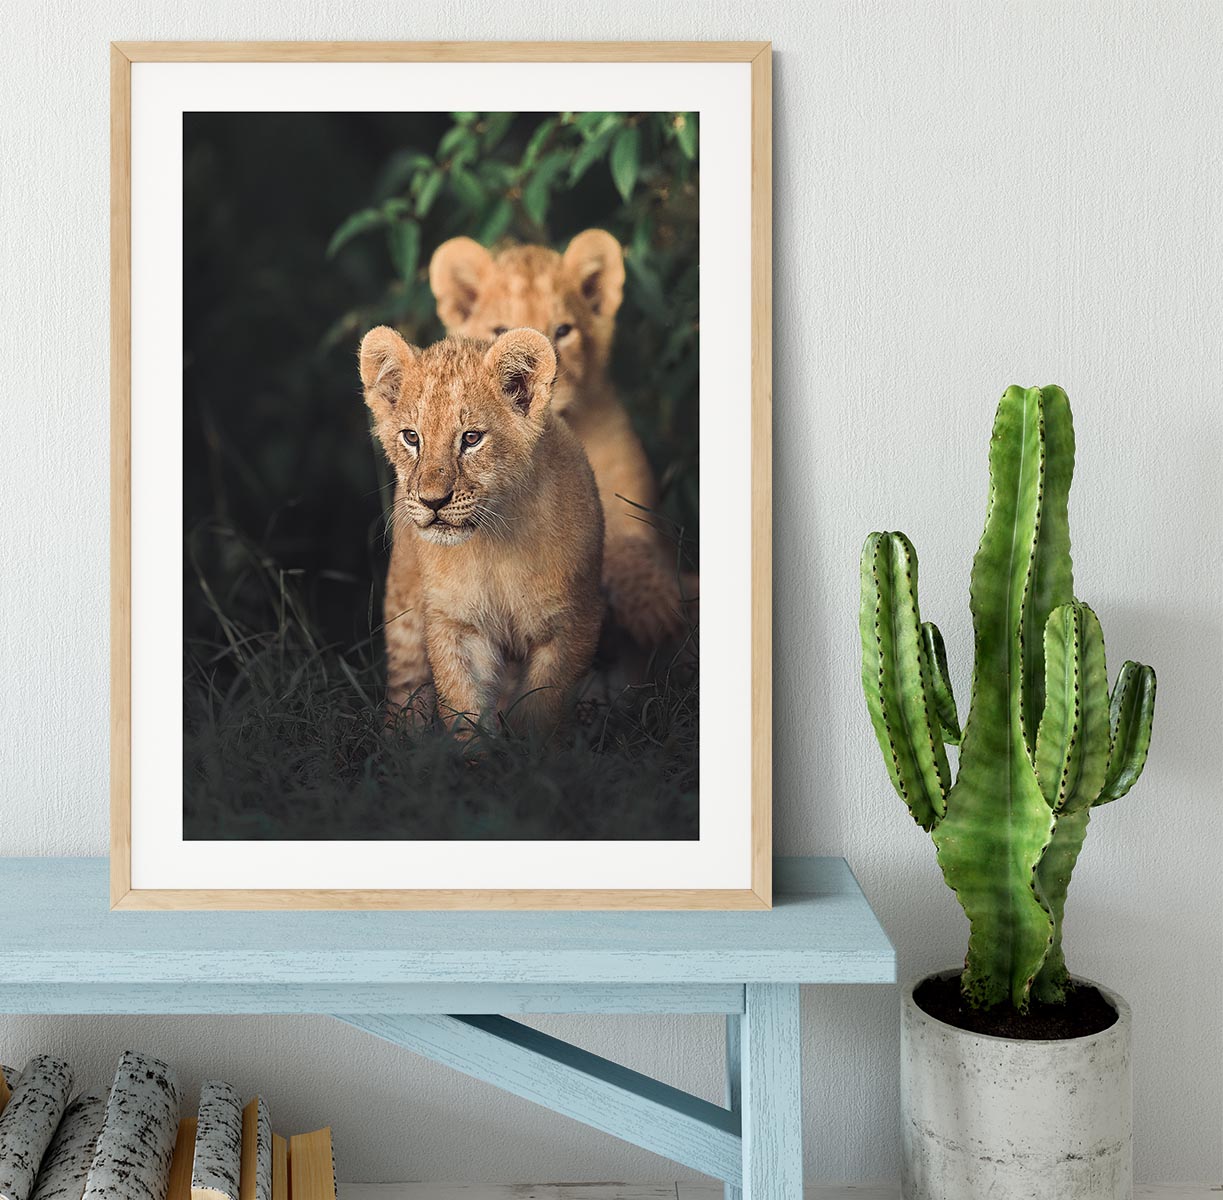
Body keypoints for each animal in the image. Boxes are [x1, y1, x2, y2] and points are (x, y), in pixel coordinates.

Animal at [359, 325, 604, 735]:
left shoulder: (572, 624)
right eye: (412, 437)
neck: (494, 544)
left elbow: (541, 709)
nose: (432, 501)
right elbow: (464, 711)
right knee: (406, 688)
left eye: (471, 439)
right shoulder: (456, 625)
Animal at [429, 229, 695, 652]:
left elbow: (629, 548)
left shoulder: (625, 504)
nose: (533, 379)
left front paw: (658, 609)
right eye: (500, 332)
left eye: (563, 330)